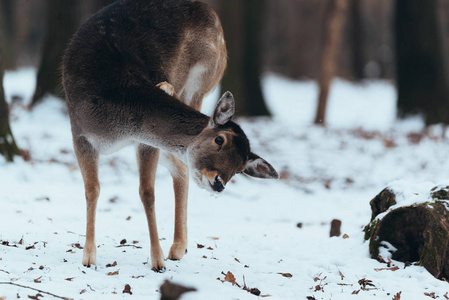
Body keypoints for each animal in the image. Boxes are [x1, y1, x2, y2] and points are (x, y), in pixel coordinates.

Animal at [61, 0, 278, 272]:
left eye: (240, 169)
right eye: (219, 140)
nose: (218, 183)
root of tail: (212, 13)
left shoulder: (145, 141)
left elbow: (147, 192)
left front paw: (158, 261)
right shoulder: (79, 133)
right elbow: (92, 189)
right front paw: (89, 258)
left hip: (202, 80)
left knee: (181, 164)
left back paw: (177, 248)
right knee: (181, 166)